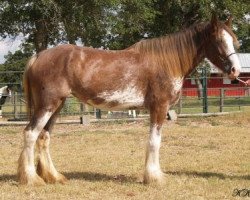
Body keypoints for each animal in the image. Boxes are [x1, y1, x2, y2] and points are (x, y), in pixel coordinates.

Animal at [17, 14, 240, 186]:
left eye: (233, 40)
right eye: (219, 40)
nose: (235, 70)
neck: (166, 62)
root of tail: (39, 56)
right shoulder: (159, 108)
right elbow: (154, 142)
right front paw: (154, 178)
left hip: (57, 106)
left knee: (44, 137)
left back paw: (54, 177)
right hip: (48, 105)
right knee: (30, 134)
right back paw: (32, 179)